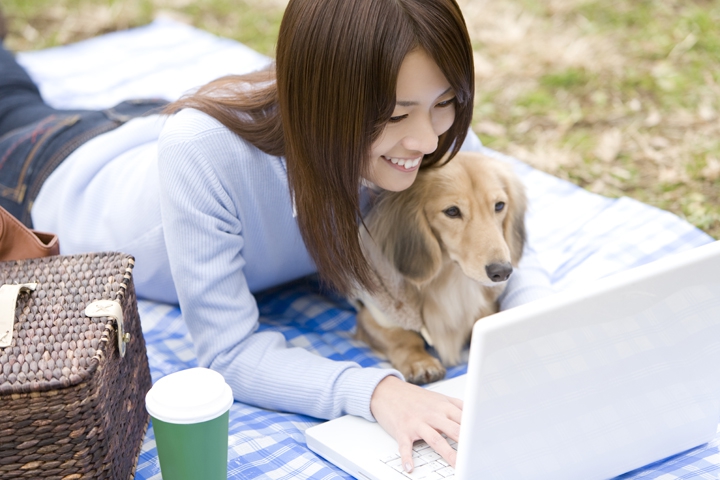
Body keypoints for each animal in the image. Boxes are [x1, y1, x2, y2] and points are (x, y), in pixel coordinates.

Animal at [352, 152, 524, 384]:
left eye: (499, 206)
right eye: (452, 211)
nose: (503, 272)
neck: (449, 280)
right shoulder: (375, 314)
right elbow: (402, 338)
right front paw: (420, 362)